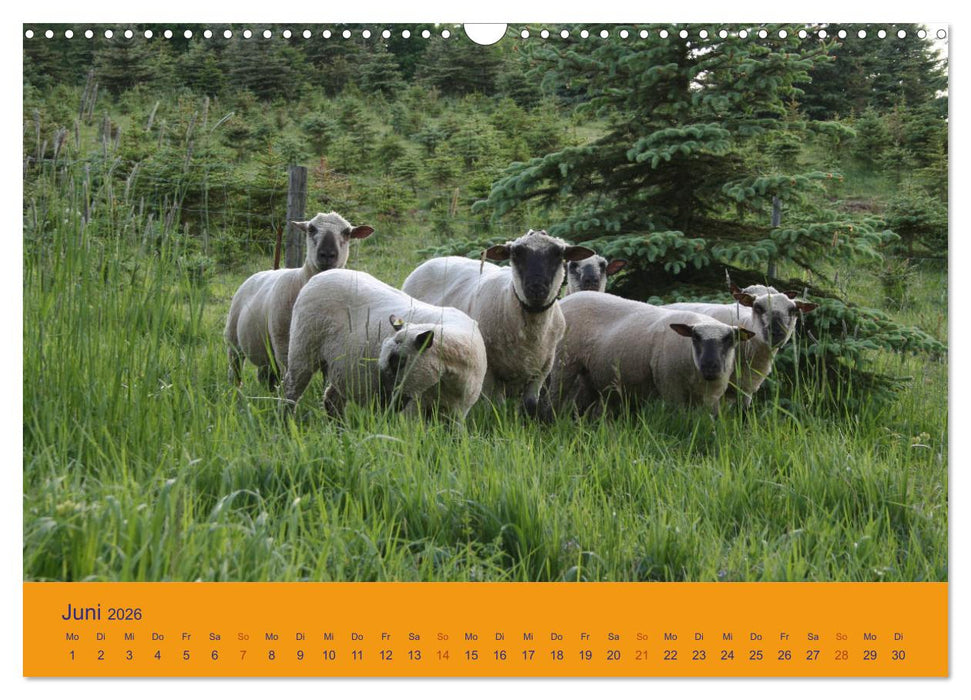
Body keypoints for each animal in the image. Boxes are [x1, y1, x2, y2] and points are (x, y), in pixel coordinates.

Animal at [224, 211, 374, 388]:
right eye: (311, 229)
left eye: (347, 232)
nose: (327, 254)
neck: (301, 280)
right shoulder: (283, 346)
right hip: (233, 340)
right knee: (235, 371)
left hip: (265, 351)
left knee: (265, 377)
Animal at [283, 269, 487, 421]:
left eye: (400, 361)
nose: (386, 402)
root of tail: (319, 276)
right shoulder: (414, 409)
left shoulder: (458, 412)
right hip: (303, 350)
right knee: (290, 390)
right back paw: (286, 424)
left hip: (341, 366)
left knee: (332, 400)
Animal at [401, 229, 595, 418]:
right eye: (516, 254)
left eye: (558, 254)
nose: (536, 288)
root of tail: (436, 259)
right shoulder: (490, 371)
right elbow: (497, 407)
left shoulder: (543, 368)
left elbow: (530, 405)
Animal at [549, 291, 755, 416]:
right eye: (695, 337)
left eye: (729, 339)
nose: (710, 367)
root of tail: (565, 300)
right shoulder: (670, 388)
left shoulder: (712, 396)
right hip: (563, 363)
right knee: (554, 398)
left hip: (589, 373)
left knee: (583, 404)